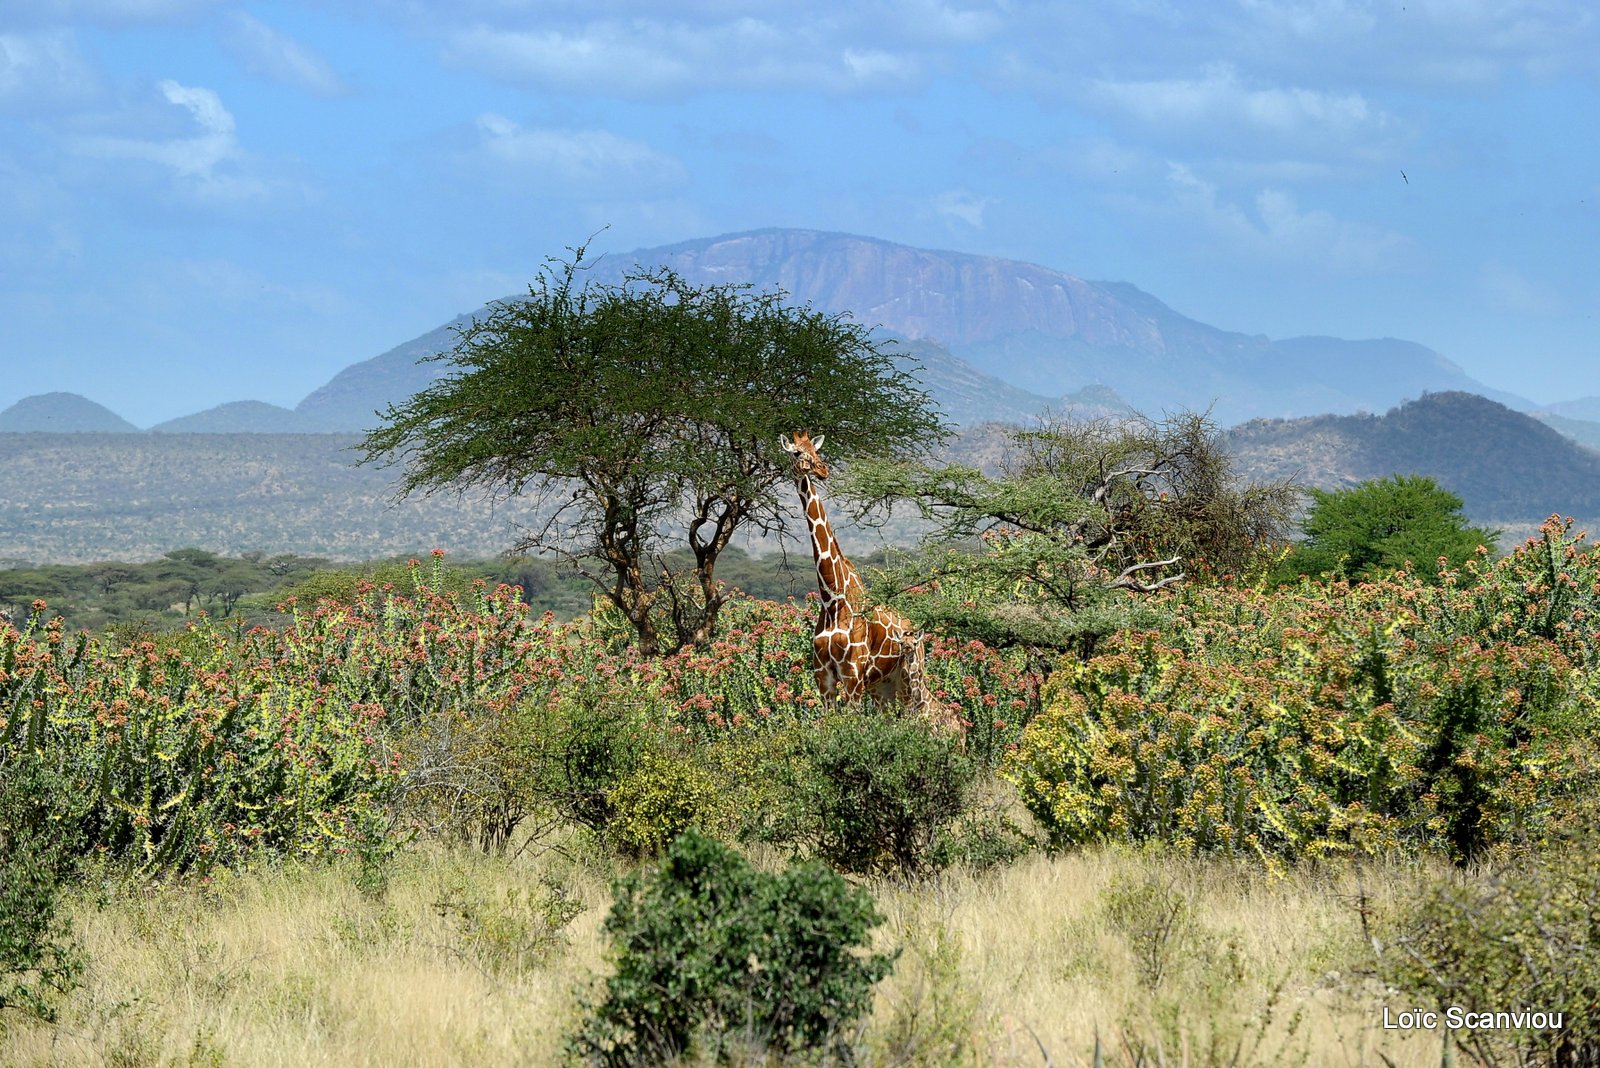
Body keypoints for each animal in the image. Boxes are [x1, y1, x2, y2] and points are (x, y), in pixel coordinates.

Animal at [777, 425, 953, 735]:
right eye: (797, 453)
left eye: (817, 451)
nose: (822, 470)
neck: (833, 598)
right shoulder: (823, 678)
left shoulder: (852, 675)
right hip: (881, 687)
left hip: (904, 678)